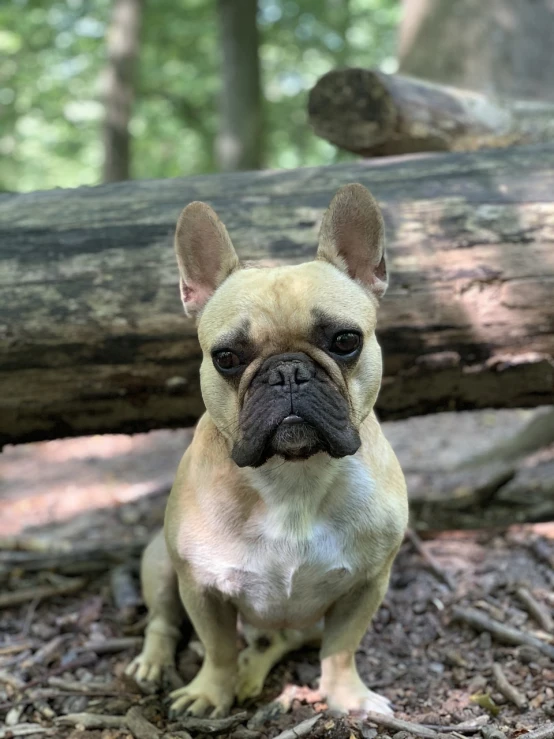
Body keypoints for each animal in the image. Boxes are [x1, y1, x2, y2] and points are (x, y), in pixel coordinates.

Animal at [127, 184, 408, 716]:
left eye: (345, 340)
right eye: (226, 357)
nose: (288, 372)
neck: (293, 474)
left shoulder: (368, 585)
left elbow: (342, 648)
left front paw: (347, 696)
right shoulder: (200, 587)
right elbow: (216, 646)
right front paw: (208, 692)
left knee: (277, 640)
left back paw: (252, 672)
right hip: (160, 563)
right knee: (163, 623)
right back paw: (154, 664)